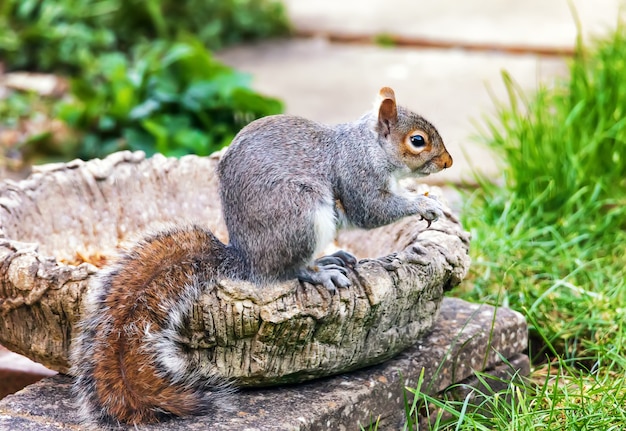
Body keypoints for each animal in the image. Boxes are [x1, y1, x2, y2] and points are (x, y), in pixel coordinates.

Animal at [70, 86, 450, 426]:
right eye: (417, 141)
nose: (449, 162)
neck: (369, 146)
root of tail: (246, 260)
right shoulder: (357, 175)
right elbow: (372, 210)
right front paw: (422, 204)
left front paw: (428, 198)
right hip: (301, 213)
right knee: (289, 272)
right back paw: (319, 270)